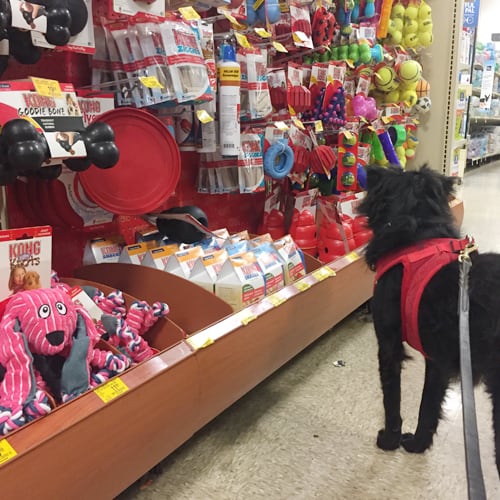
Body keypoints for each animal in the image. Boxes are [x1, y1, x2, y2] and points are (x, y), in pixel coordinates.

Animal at [358, 166, 500, 474]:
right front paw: (420, 443)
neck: (419, 236)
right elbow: (429, 405)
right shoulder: (439, 361)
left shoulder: (390, 346)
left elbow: (393, 400)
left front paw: (392, 440)